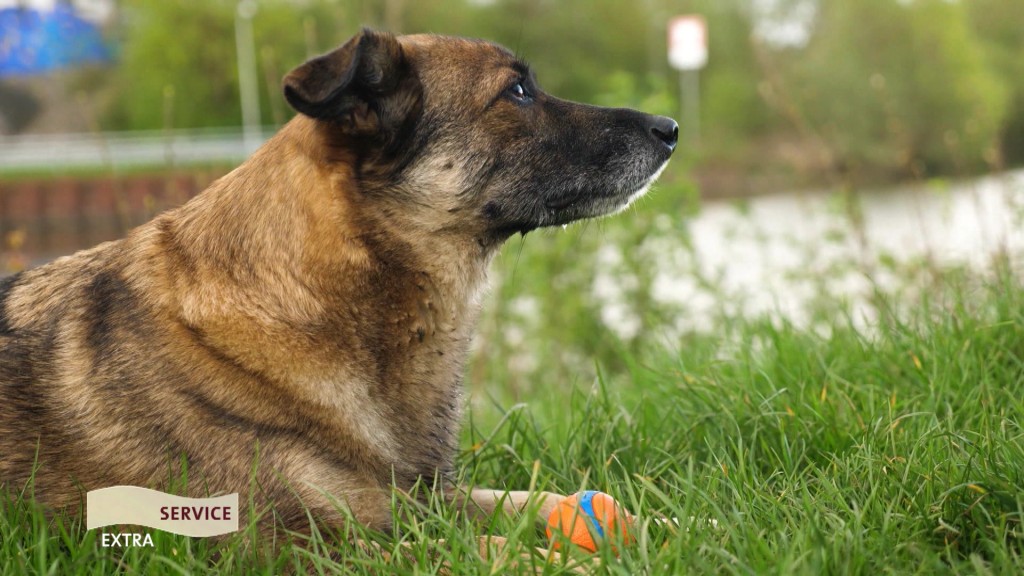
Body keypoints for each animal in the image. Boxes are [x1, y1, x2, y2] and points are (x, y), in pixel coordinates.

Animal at [2, 26, 679, 545]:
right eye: (516, 92)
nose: (670, 128)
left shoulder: (422, 501)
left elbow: (535, 500)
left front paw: (664, 525)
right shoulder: (313, 547)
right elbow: (510, 552)